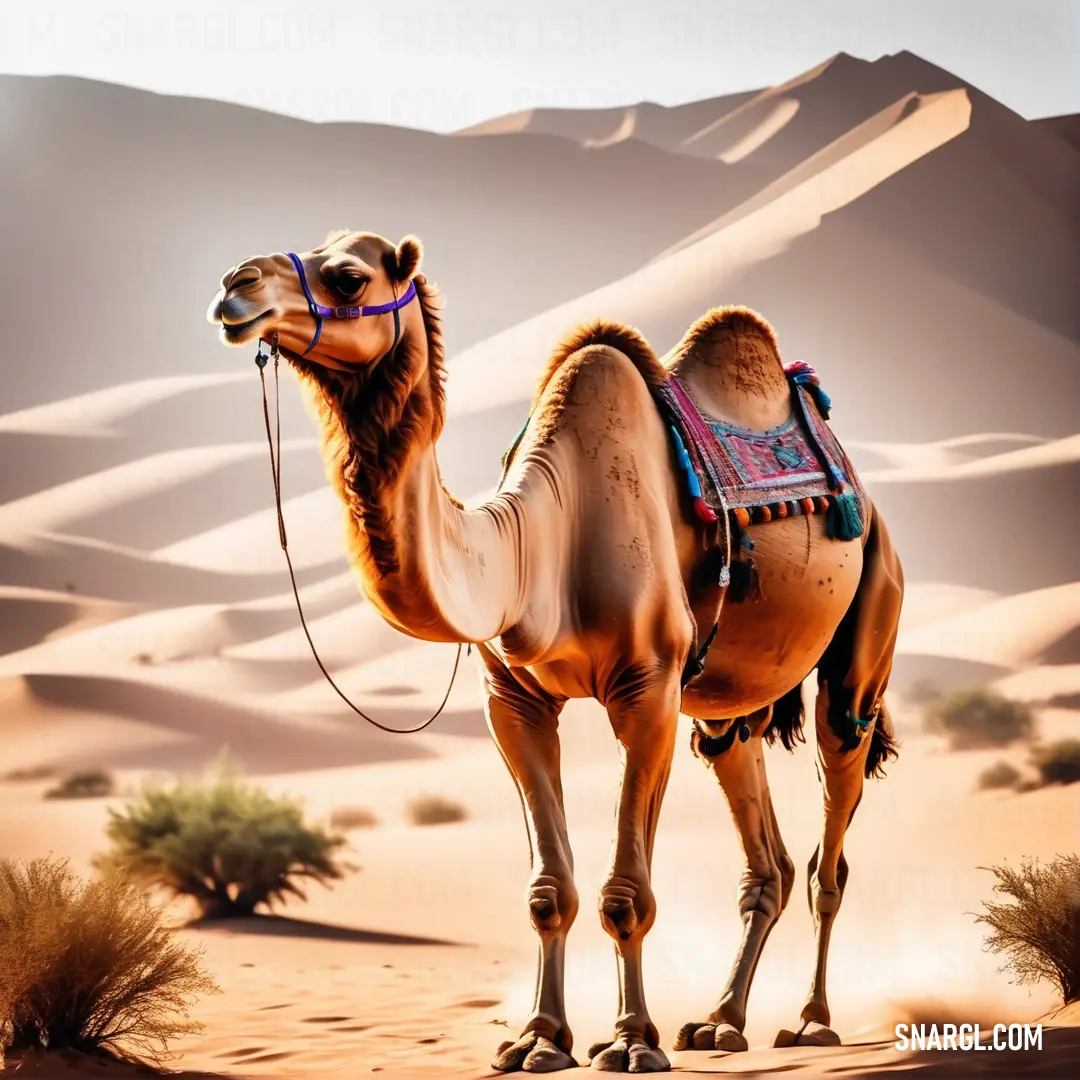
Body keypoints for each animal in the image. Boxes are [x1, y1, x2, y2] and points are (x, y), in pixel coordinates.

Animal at [204, 230, 902, 1071]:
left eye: (347, 276)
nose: (235, 286)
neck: (536, 543)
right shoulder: (515, 699)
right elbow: (548, 890)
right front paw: (539, 1039)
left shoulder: (646, 689)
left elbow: (625, 893)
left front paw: (631, 1043)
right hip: (725, 703)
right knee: (763, 848)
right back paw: (721, 1022)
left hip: (867, 628)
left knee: (833, 837)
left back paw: (809, 1022)